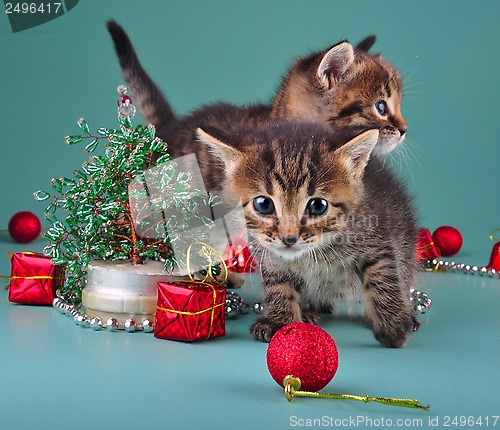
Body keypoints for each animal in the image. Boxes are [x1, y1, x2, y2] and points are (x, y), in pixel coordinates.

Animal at [196, 122, 418, 348]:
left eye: (318, 206)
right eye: (263, 204)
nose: (289, 237)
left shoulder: (375, 238)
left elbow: (382, 276)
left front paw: (393, 326)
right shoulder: (270, 257)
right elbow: (279, 286)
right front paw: (281, 321)